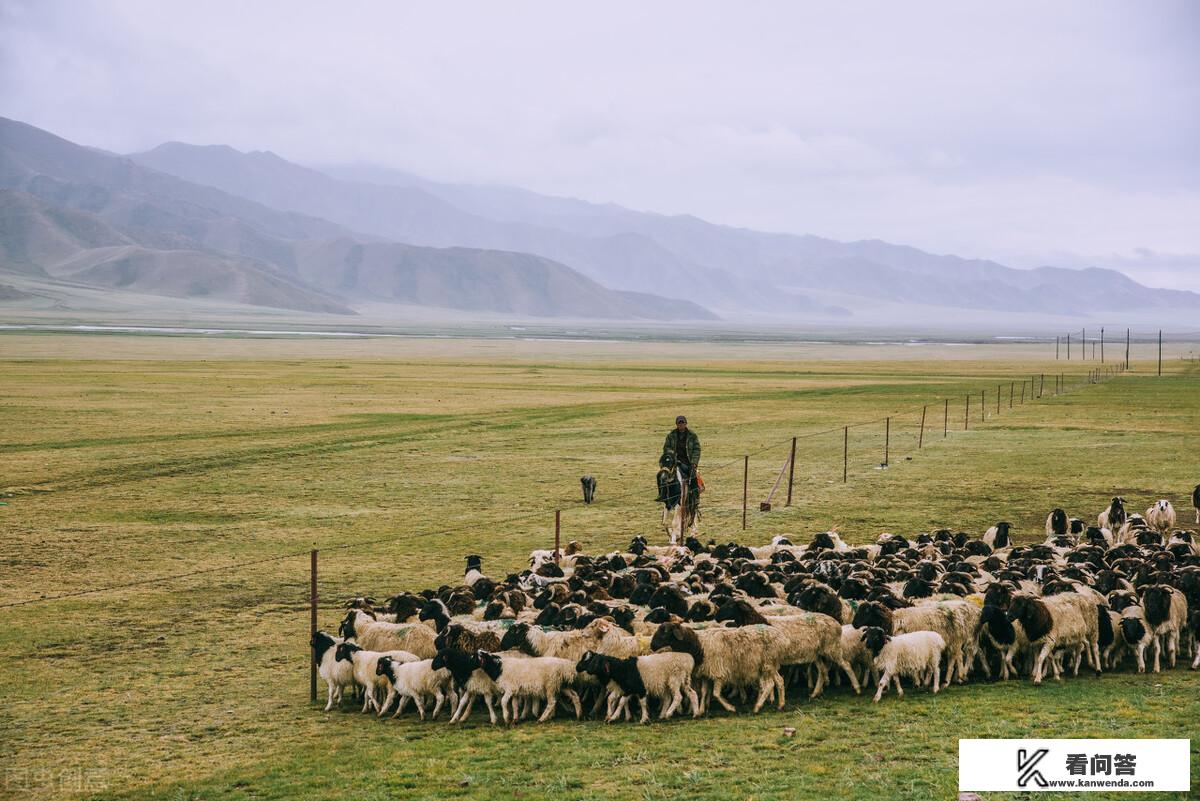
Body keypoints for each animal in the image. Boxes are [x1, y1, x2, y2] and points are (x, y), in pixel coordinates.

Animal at [652, 618, 782, 714]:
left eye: (664, 632)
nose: (652, 645)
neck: (698, 645)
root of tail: (779, 635)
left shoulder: (718, 672)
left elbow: (716, 693)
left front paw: (730, 708)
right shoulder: (706, 673)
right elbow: (704, 692)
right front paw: (701, 710)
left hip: (767, 664)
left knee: (769, 685)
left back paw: (757, 707)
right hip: (769, 665)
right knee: (779, 681)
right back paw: (780, 705)